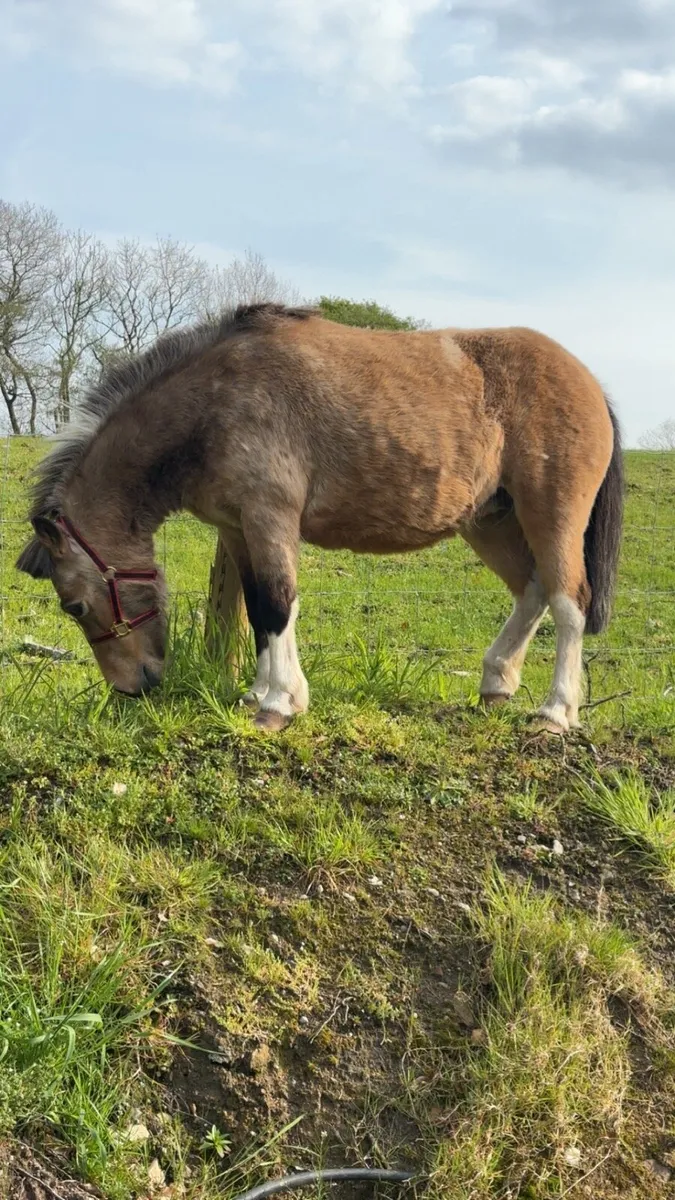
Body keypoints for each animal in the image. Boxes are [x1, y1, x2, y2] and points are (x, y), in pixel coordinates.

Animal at [16, 303, 623, 733]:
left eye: (73, 605)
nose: (133, 688)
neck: (214, 402)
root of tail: (589, 380)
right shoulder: (238, 529)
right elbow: (259, 609)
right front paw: (258, 692)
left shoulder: (270, 516)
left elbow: (278, 602)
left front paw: (280, 703)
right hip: (491, 522)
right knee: (533, 591)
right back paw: (497, 682)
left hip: (552, 515)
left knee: (570, 602)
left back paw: (555, 712)